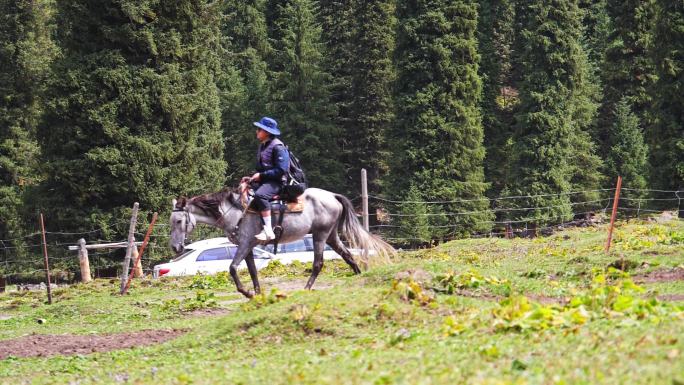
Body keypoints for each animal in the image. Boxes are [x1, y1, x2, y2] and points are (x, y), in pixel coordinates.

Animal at [169, 184, 396, 298]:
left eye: (179, 220)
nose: (175, 247)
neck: (236, 211)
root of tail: (332, 196)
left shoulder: (245, 244)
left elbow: (232, 268)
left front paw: (247, 293)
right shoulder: (248, 247)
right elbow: (252, 271)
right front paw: (257, 295)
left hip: (320, 235)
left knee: (318, 263)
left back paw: (306, 289)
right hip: (331, 235)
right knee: (347, 255)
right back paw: (358, 277)